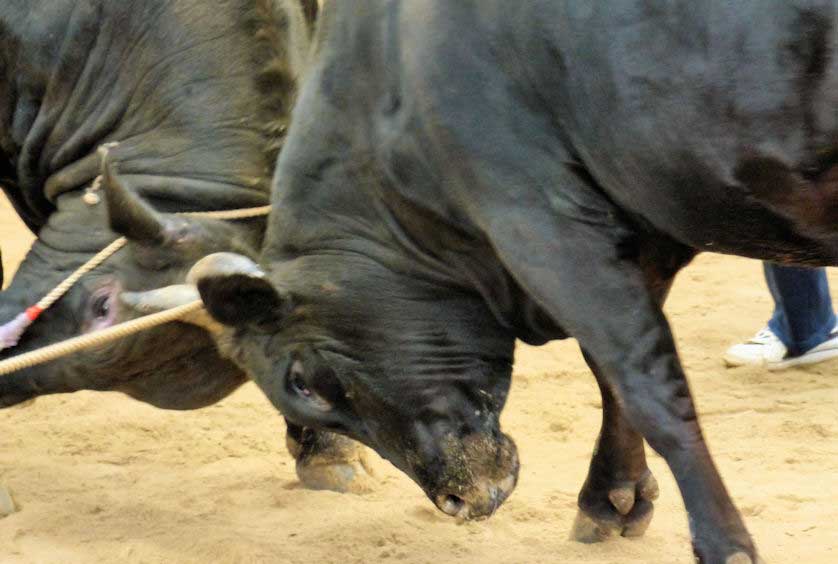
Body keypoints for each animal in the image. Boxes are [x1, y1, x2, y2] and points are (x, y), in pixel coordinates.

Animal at [164, 2, 838, 560]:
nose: (458, 501)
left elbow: (646, 385)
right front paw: (611, 499)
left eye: (303, 380)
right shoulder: (630, 224)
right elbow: (612, 376)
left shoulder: (535, 215)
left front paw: (725, 545)